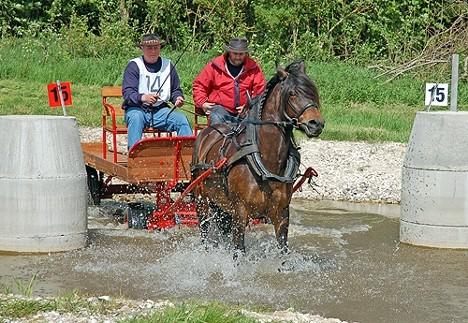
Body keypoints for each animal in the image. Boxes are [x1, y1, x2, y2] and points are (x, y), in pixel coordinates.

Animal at [192, 60, 324, 256]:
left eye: (313, 92)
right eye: (292, 93)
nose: (316, 124)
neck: (265, 160)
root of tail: (206, 132)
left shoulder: (281, 213)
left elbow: (283, 250)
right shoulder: (240, 212)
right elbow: (238, 251)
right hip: (202, 199)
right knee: (204, 230)